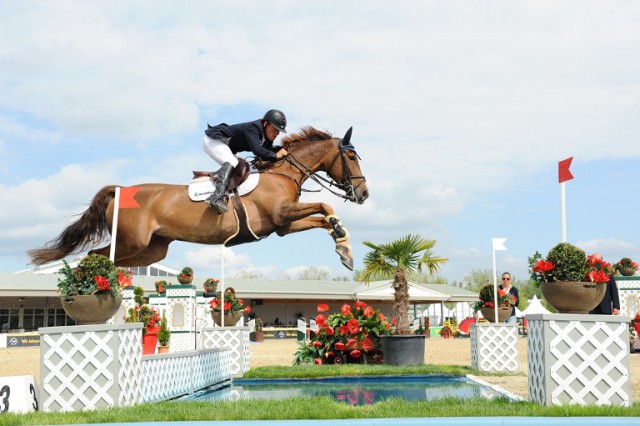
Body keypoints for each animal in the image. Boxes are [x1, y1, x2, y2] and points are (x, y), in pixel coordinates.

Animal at [28, 126, 370, 272]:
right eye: (352, 157)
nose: (364, 194)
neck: (284, 172)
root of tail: (120, 191)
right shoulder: (282, 213)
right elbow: (325, 207)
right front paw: (342, 235)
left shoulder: (283, 225)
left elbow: (321, 218)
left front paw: (345, 251)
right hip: (130, 242)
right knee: (95, 256)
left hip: (150, 250)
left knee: (112, 260)